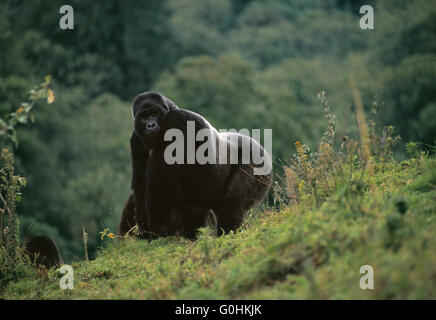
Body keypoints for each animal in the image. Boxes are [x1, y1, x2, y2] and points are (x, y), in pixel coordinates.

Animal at [117, 91, 270, 239]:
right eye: (144, 117)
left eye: (154, 113)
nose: (150, 125)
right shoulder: (136, 138)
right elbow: (140, 182)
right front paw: (145, 229)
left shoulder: (176, 121)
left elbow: (162, 189)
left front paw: (161, 232)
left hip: (258, 160)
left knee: (231, 207)